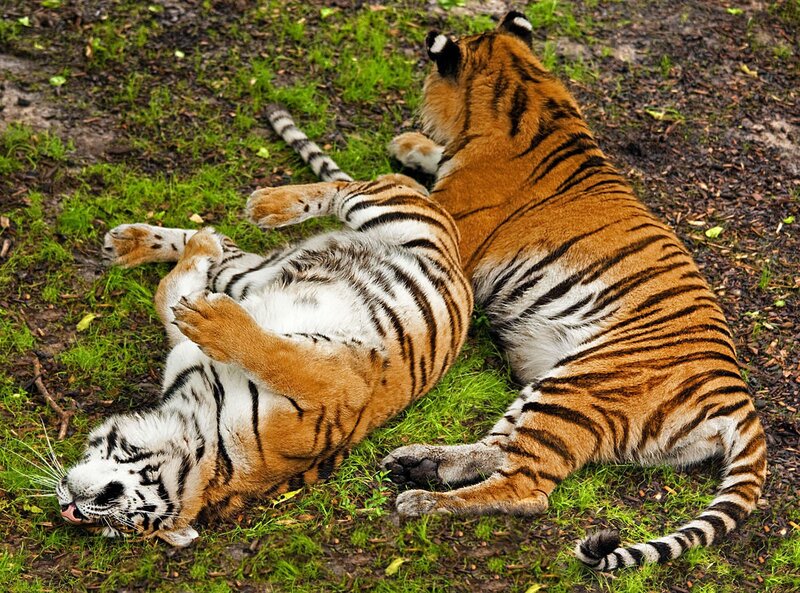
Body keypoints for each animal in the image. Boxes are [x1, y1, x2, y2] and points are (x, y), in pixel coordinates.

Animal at [55, 134, 472, 546]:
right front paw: (199, 264)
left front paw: (212, 319)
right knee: (231, 242)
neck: (197, 425)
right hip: (250, 273)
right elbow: (169, 292)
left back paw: (265, 205)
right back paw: (137, 241)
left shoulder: (340, 386)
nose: (69, 508)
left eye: (119, 518)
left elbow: (276, 356)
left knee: (349, 188)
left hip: (388, 214)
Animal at [380, 11, 767, 570]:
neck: (526, 91)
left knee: (526, 488)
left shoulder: (450, 228)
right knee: (499, 449)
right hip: (550, 386)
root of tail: (736, 395)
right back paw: (419, 463)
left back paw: (421, 499)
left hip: (577, 387)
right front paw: (410, 145)